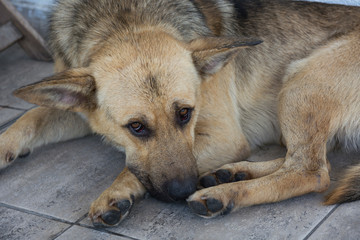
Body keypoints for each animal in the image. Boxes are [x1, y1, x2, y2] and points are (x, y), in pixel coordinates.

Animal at [0, 0, 360, 227]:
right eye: (136, 127)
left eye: (186, 113)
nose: (182, 191)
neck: (123, 20)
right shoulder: (77, 108)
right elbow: (29, 117)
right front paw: (5, 146)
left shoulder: (225, 136)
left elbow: (130, 169)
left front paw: (117, 191)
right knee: (303, 160)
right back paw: (232, 173)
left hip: (300, 80)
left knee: (311, 171)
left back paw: (222, 193)